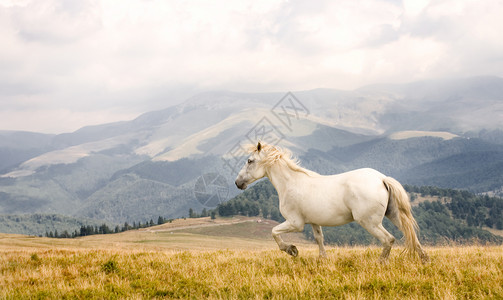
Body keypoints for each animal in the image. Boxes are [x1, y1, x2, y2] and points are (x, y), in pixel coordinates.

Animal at [236, 142, 430, 262]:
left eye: (250, 161)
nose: (238, 183)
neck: (291, 183)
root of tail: (381, 178)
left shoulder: (295, 223)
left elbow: (274, 232)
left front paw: (292, 250)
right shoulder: (314, 222)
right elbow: (319, 239)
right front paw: (323, 260)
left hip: (369, 222)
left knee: (388, 239)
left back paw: (380, 263)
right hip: (393, 215)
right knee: (411, 235)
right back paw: (424, 260)